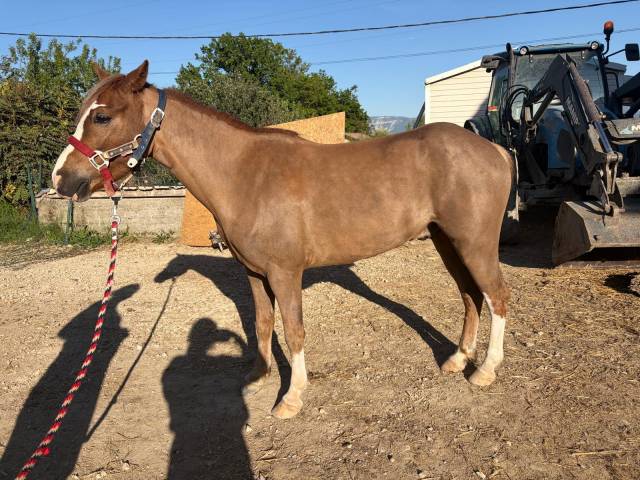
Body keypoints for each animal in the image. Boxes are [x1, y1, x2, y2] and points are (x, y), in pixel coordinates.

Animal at [52, 61, 511, 419]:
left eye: (102, 117)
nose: (61, 179)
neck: (245, 173)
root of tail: (493, 149)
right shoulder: (255, 274)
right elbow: (262, 323)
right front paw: (258, 377)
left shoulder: (285, 273)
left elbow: (293, 331)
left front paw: (291, 398)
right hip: (447, 243)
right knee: (470, 296)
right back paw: (457, 359)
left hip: (474, 244)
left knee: (496, 297)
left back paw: (485, 371)